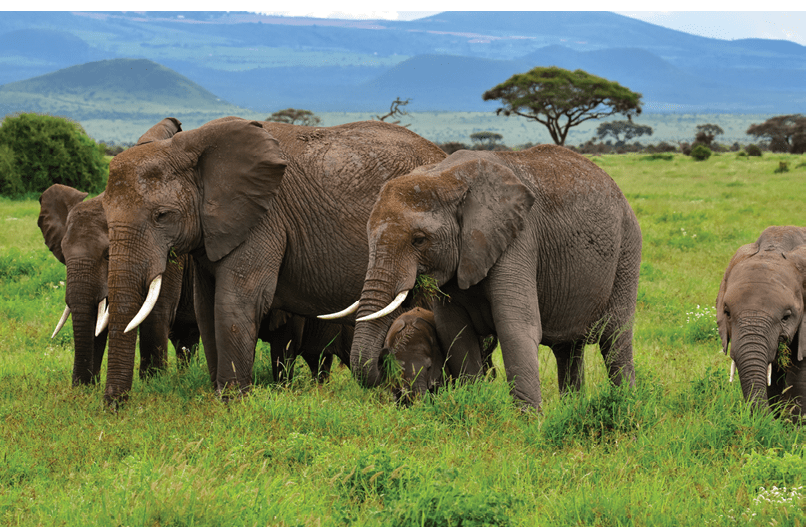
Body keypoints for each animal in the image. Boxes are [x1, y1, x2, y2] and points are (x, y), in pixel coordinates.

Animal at [38, 184, 200, 385]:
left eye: (108, 255)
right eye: (64, 256)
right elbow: (97, 320)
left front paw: (152, 385)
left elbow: (156, 313)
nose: (79, 385)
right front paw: (86, 389)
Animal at [100, 116, 446, 402]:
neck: (191, 147)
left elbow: (236, 301)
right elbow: (205, 306)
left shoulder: (264, 220)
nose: (115, 405)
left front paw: (231, 401)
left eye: (162, 216)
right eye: (104, 211)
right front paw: (217, 395)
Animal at [340, 145, 642, 409]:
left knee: (615, 338)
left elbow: (516, 327)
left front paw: (528, 424)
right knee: (568, 349)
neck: (446, 177)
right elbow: (455, 332)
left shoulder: (519, 239)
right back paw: (572, 408)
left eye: (419, 240)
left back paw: (626, 406)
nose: (383, 357)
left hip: (627, 251)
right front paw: (475, 404)